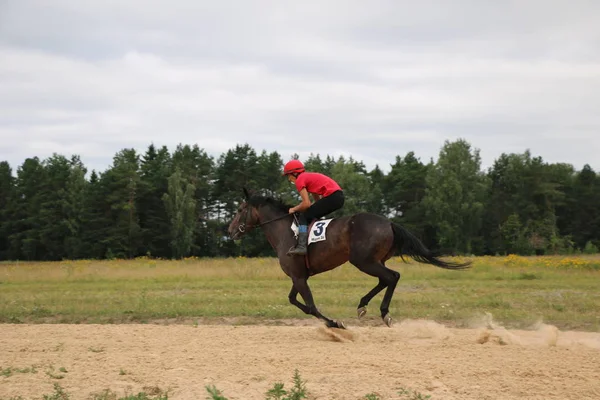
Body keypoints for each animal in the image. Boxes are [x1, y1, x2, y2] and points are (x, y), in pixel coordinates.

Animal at [227, 189, 472, 330]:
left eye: (239, 209)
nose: (230, 231)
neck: (284, 230)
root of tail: (389, 222)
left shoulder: (298, 276)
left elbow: (311, 306)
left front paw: (334, 323)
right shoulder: (299, 276)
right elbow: (295, 301)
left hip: (363, 261)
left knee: (392, 277)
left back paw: (383, 313)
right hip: (374, 260)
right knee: (387, 279)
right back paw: (363, 305)